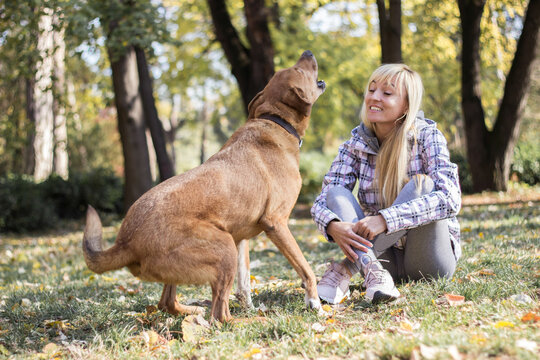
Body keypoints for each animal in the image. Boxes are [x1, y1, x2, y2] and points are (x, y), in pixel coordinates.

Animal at [83, 50, 326, 320]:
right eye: (299, 70)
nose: (308, 52)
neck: (275, 121)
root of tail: (125, 241)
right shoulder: (276, 223)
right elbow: (305, 269)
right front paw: (315, 303)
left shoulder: (241, 238)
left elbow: (244, 283)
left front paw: (250, 307)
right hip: (224, 247)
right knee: (219, 314)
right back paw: (241, 322)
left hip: (214, 252)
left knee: (168, 303)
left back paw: (195, 311)